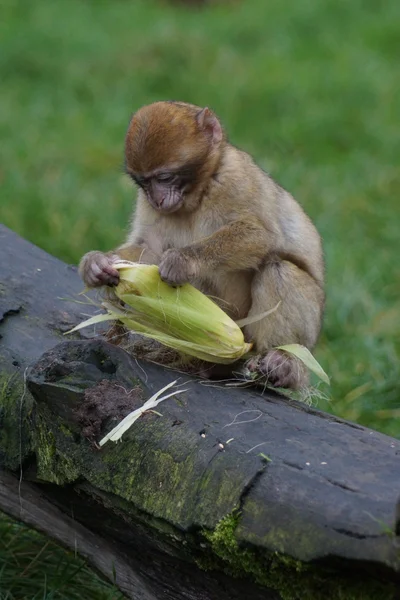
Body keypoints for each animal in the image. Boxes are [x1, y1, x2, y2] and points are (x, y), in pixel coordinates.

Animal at [78, 101, 324, 392]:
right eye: (144, 182)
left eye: (164, 177)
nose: (157, 199)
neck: (198, 194)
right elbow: (149, 248)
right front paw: (97, 264)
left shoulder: (235, 178)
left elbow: (261, 235)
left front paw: (182, 261)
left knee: (280, 269)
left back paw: (284, 363)